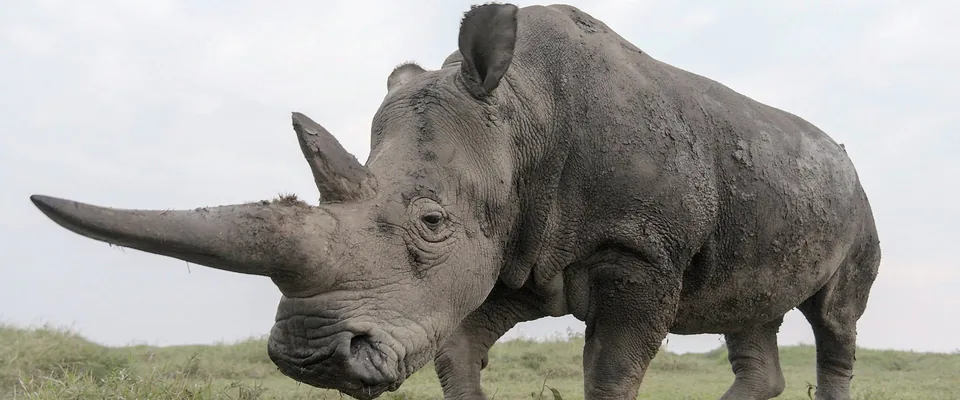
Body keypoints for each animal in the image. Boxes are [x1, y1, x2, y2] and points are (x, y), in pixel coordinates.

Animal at [29, 3, 881, 400]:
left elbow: (609, 370)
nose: (309, 359)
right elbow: (455, 348)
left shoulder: (636, 248)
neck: (521, 112)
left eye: (431, 221)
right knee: (751, 310)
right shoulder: (514, 249)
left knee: (835, 317)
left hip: (858, 203)